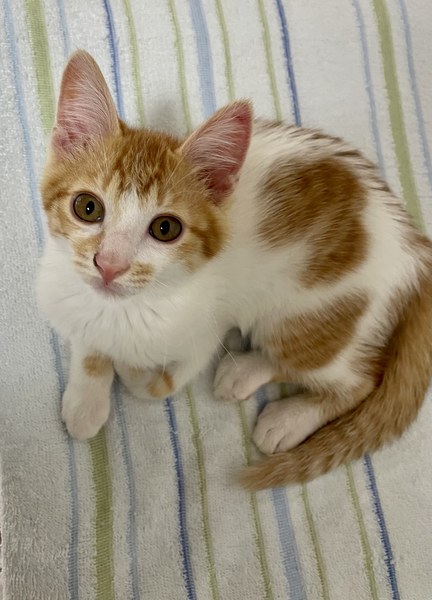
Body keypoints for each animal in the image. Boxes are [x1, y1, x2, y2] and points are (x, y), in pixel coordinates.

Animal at [37, 50, 432, 490]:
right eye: (87, 207)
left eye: (165, 228)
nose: (109, 265)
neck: (126, 307)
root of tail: (413, 241)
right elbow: (86, 339)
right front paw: (86, 399)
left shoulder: (204, 332)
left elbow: (157, 386)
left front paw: (129, 370)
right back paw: (244, 372)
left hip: (308, 315)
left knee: (357, 378)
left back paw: (287, 418)